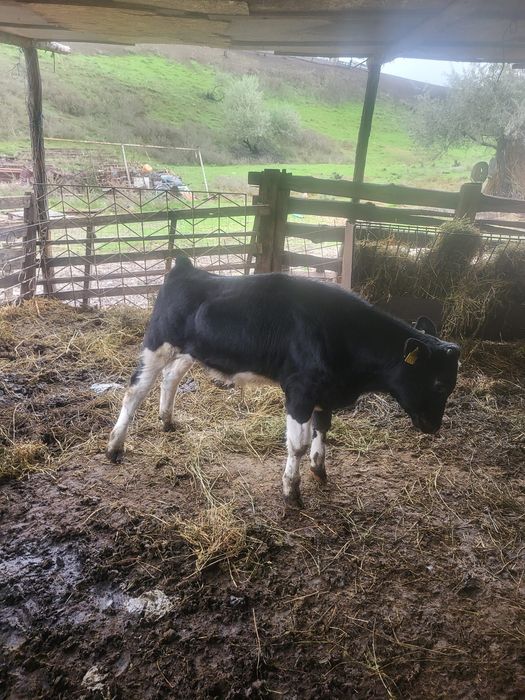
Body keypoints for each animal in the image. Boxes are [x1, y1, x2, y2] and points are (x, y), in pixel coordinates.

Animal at [107, 256, 460, 508]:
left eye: (451, 384)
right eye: (439, 384)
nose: (433, 426)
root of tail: (185, 268)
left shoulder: (324, 392)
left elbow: (323, 428)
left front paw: (319, 469)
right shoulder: (300, 391)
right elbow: (298, 444)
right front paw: (292, 491)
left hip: (192, 349)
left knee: (171, 377)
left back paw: (167, 420)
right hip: (157, 341)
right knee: (135, 390)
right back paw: (115, 446)